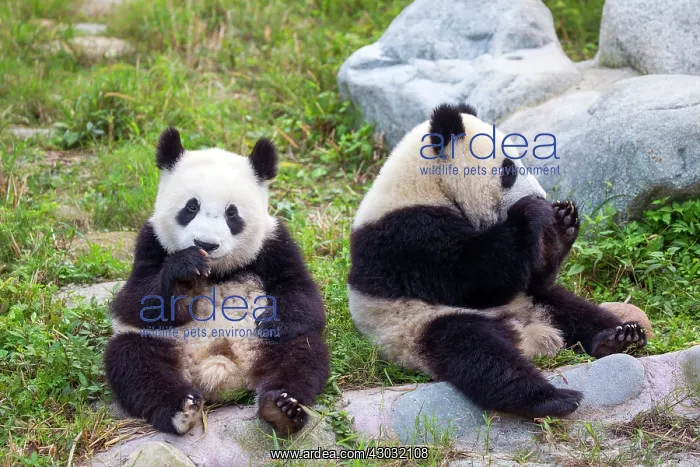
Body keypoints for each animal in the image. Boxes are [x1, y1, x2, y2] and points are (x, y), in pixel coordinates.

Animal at [104, 128, 329, 435]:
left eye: (231, 213)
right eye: (191, 207)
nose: (206, 244)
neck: (217, 271)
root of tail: (220, 370)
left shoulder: (274, 243)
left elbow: (302, 293)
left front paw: (273, 320)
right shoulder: (150, 242)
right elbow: (136, 302)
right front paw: (184, 271)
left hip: (264, 345)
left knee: (302, 355)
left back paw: (282, 407)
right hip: (164, 343)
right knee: (134, 363)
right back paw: (181, 409)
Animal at [348, 104, 647, 418]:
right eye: (509, 170)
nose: (539, 196)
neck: (428, 186)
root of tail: (524, 330)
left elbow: (530, 276)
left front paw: (560, 225)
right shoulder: (408, 236)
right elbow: (473, 279)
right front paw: (530, 212)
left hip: (531, 301)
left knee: (570, 307)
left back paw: (618, 337)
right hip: (415, 327)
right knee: (478, 353)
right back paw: (550, 399)